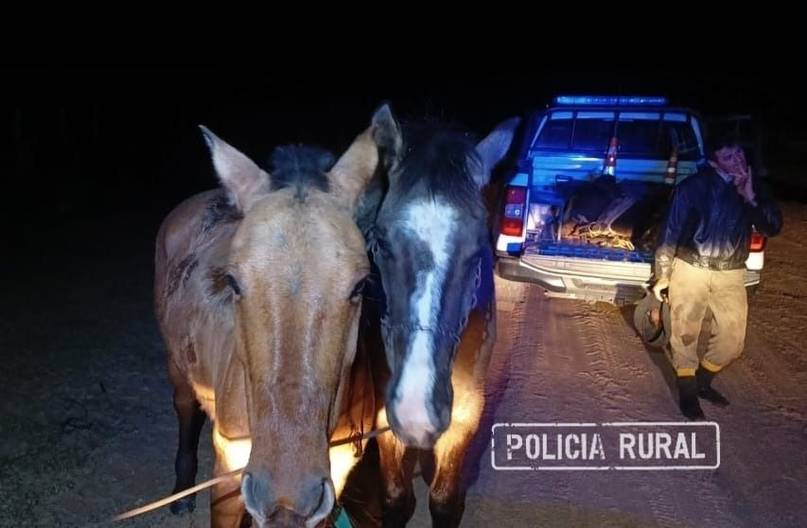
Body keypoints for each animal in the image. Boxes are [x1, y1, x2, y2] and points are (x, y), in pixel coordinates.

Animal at [153, 106, 396, 527]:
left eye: (360, 285)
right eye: (233, 281)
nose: (285, 495)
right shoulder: (228, 478)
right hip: (178, 367)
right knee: (184, 409)